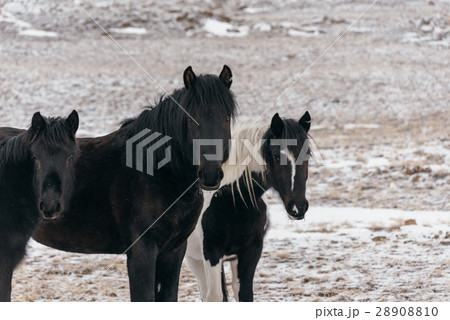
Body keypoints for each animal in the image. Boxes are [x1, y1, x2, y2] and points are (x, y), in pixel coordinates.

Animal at [185, 111, 312, 302]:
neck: (232, 200)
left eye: (307, 155)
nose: (298, 208)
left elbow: (244, 294)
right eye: (276, 156)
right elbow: (215, 296)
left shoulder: (250, 251)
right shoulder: (211, 253)